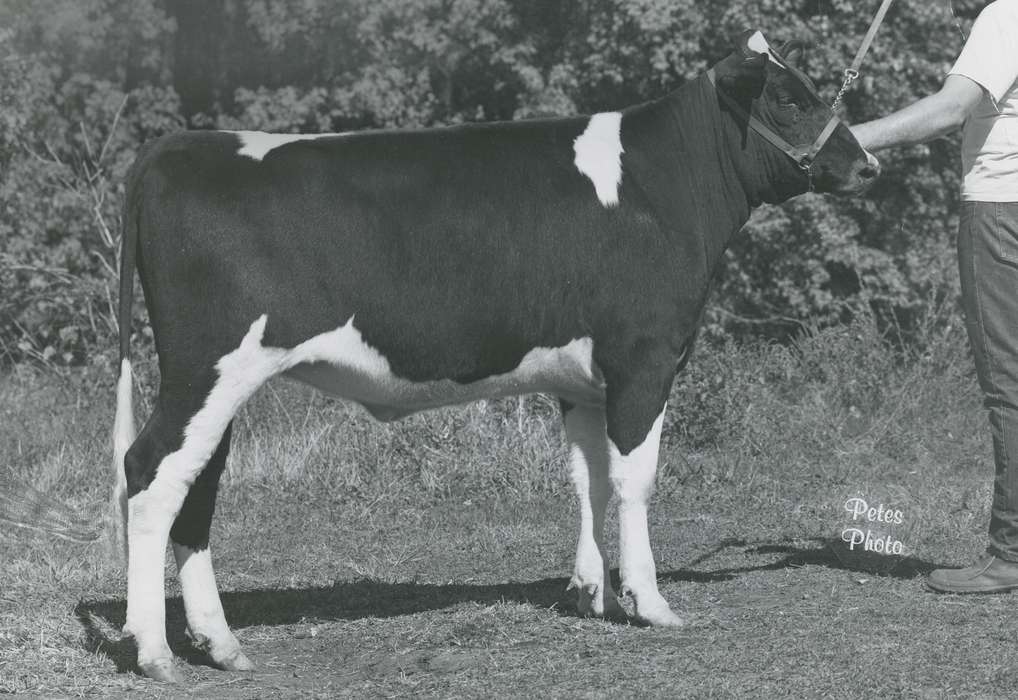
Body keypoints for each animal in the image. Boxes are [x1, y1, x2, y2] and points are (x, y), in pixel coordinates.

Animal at [110, 30, 879, 682]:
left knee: (197, 487)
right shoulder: (645, 359)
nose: (866, 162)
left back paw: (220, 644)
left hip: (217, 380)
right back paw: (155, 652)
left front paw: (589, 593)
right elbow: (635, 481)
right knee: (150, 474)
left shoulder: (583, 379)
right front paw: (650, 603)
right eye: (790, 99)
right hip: (209, 366)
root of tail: (174, 147)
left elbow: (589, 481)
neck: (660, 183)